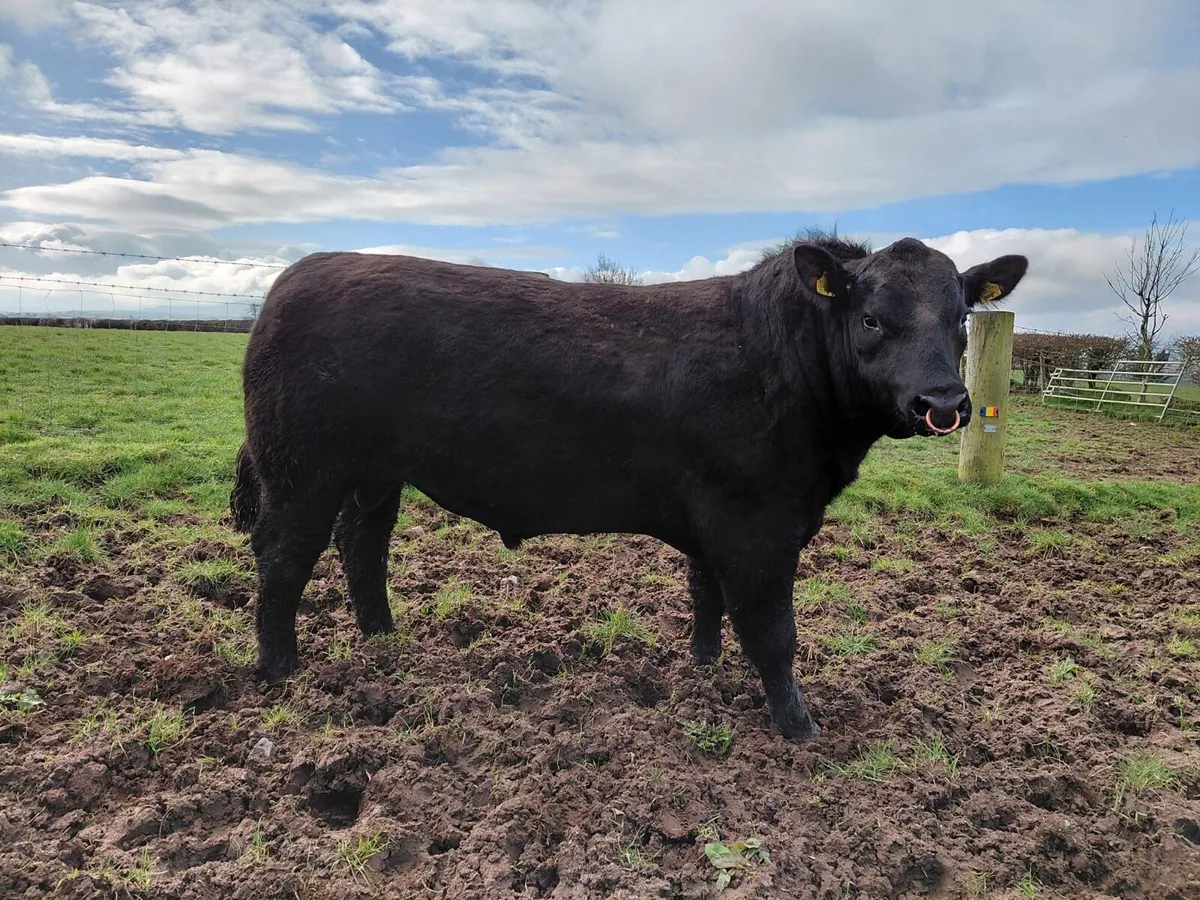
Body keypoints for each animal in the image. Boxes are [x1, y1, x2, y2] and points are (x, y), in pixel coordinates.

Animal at [229, 230, 1027, 741]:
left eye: (960, 318)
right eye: (869, 318)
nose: (943, 402)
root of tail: (295, 277)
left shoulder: (717, 517)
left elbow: (707, 597)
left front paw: (704, 664)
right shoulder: (757, 524)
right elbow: (774, 633)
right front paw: (800, 728)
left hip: (374, 475)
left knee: (361, 544)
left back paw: (382, 639)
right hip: (302, 470)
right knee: (283, 558)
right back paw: (278, 669)